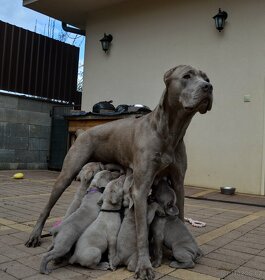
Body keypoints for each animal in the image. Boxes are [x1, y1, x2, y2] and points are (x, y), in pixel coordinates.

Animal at [26, 65, 212, 280]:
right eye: (187, 76)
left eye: (206, 78)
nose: (208, 87)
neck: (169, 132)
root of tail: (83, 132)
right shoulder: (141, 187)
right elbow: (141, 233)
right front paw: (144, 266)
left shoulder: (178, 183)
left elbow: (180, 214)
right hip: (66, 174)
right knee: (47, 207)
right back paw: (35, 236)